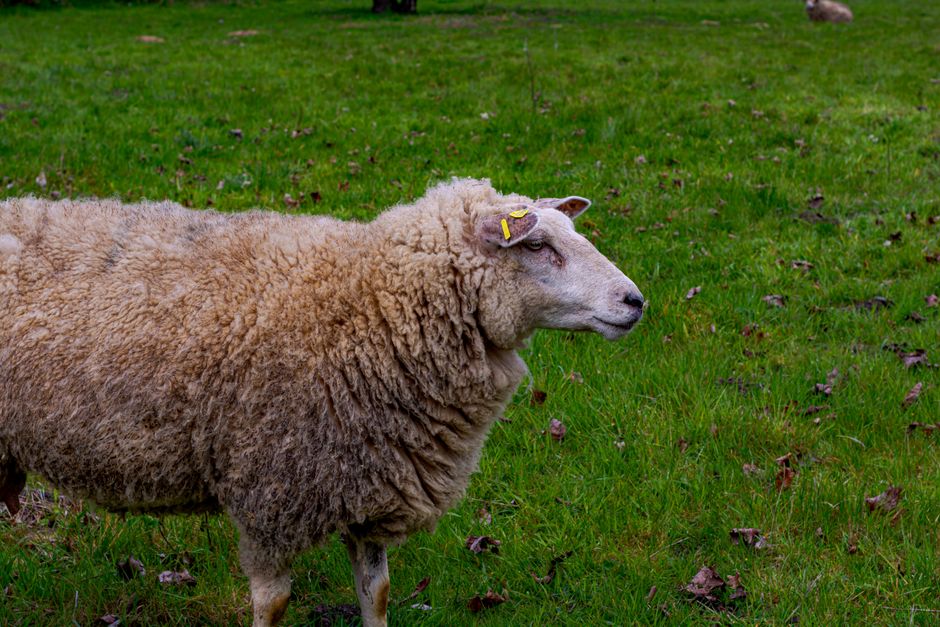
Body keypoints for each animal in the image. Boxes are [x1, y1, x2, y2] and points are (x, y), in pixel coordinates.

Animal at [0, 178, 645, 626]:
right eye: (536, 245)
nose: (635, 301)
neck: (371, 302)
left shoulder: (374, 483)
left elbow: (377, 594)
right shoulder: (271, 491)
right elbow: (274, 605)